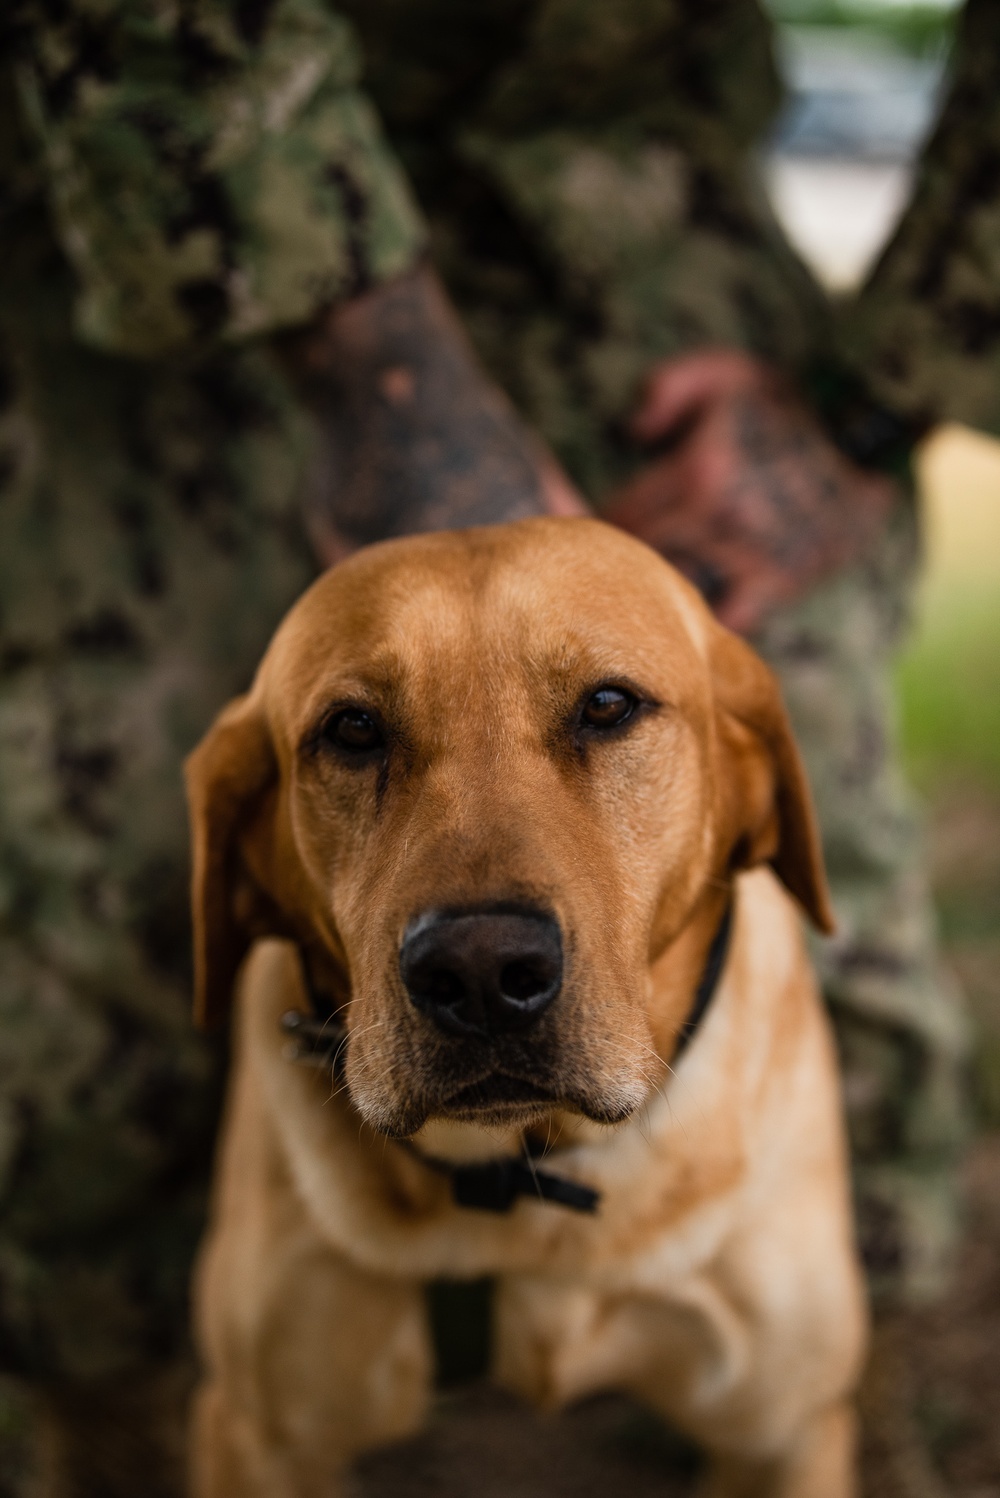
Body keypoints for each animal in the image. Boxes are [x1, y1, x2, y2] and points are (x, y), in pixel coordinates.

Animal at [185, 518, 868, 1498]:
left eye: (608, 706)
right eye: (352, 729)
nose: (480, 972)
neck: (527, 1190)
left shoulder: (784, 1433)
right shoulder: (260, 1434)